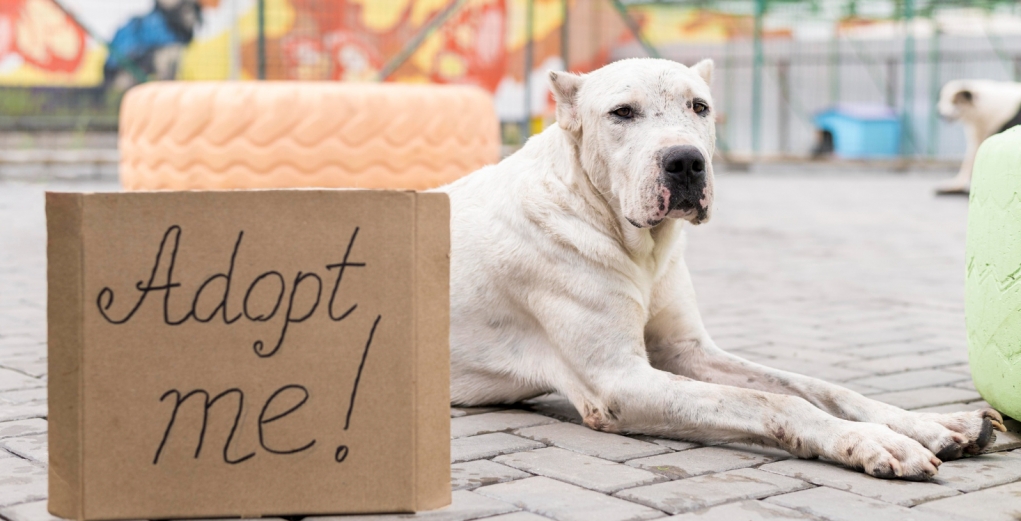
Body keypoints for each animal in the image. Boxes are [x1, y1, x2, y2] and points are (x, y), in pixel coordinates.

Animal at [441, 57, 1004, 480]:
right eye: (621, 112)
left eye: (700, 107)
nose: (686, 161)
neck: (634, 240)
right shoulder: (617, 381)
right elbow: (775, 403)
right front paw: (871, 441)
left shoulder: (688, 351)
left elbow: (819, 387)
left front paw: (933, 423)